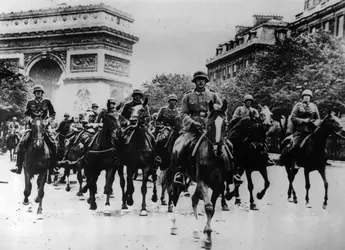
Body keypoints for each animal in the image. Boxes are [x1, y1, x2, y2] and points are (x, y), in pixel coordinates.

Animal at [162, 99, 231, 248]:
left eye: (225, 124)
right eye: (209, 125)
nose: (218, 149)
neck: (213, 158)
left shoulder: (218, 185)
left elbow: (211, 208)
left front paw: (206, 234)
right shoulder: (202, 182)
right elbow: (208, 207)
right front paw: (208, 237)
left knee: (194, 199)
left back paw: (195, 231)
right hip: (179, 174)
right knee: (175, 194)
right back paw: (174, 226)